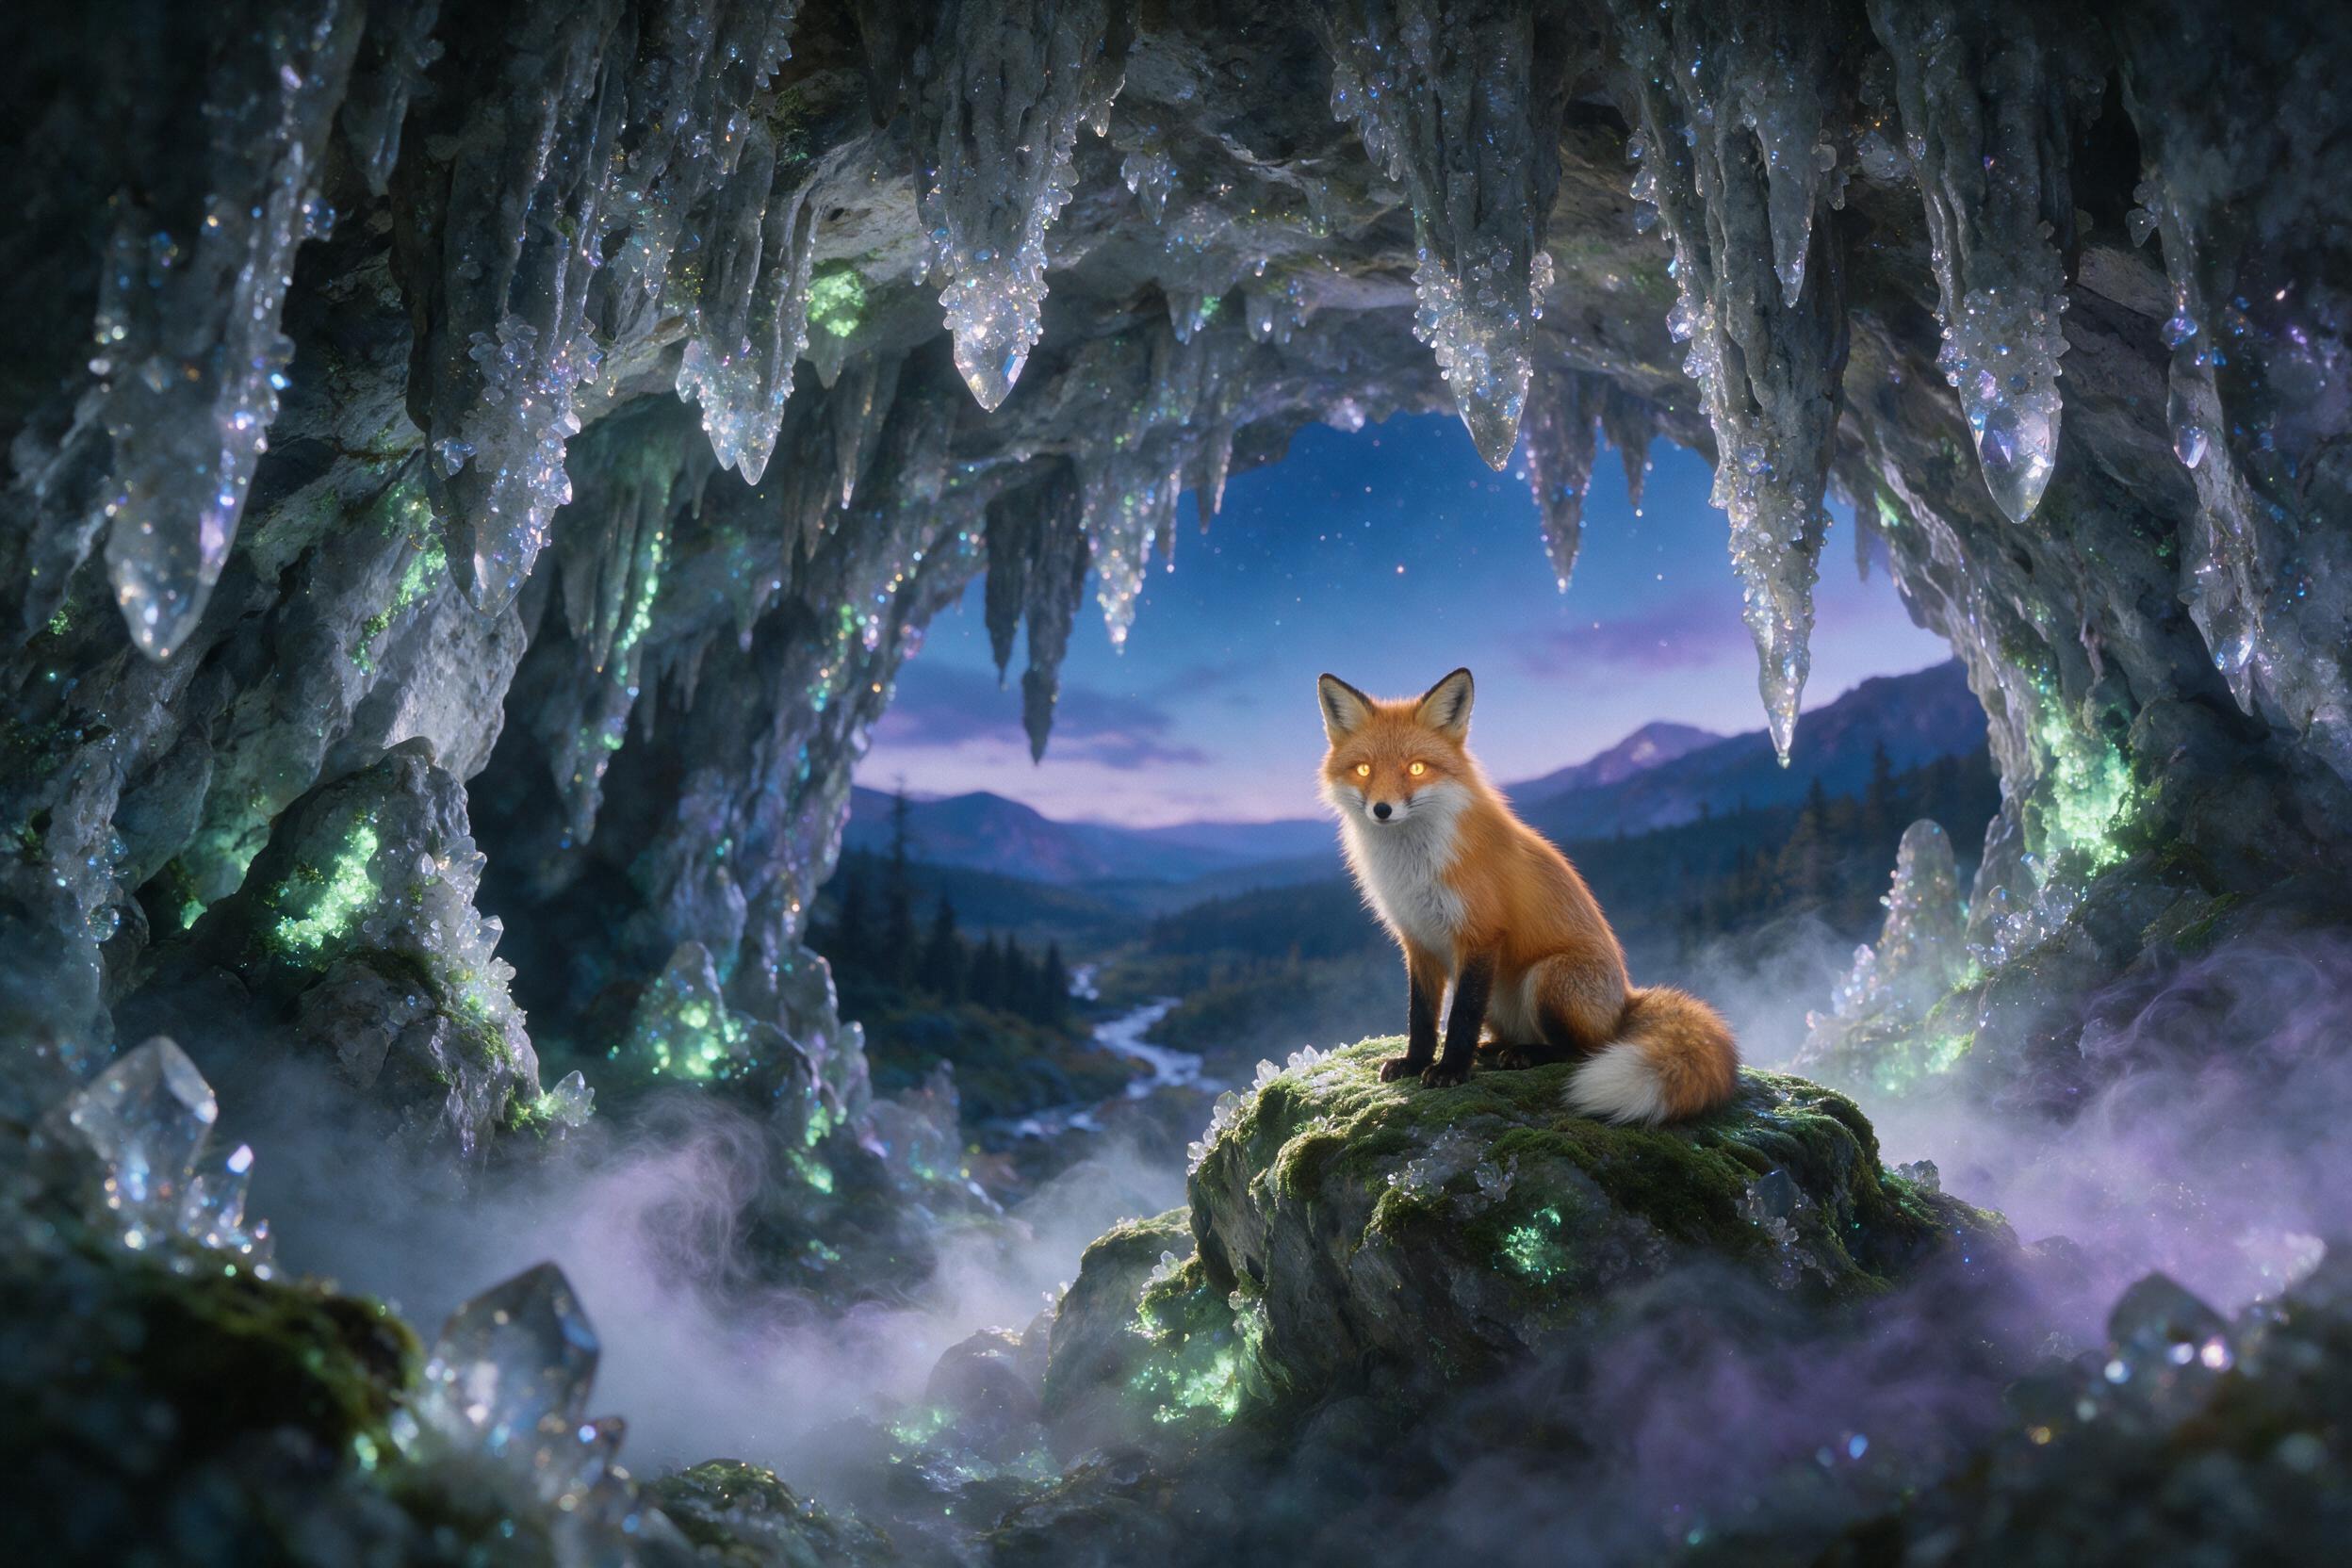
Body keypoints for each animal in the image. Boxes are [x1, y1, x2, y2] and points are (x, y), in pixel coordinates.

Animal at [1316, 667, 1739, 1124]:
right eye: (1363, 770)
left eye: (1416, 767)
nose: (1382, 809)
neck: (1412, 867)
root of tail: (1626, 1000)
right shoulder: (1418, 941)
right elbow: (1423, 1016)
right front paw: (1415, 1062)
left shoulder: (1480, 933)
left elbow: (1461, 1016)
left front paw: (1450, 1070)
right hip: (1501, 997)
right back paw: (1498, 1049)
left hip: (1549, 977)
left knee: (1581, 1049)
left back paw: (1526, 1055)